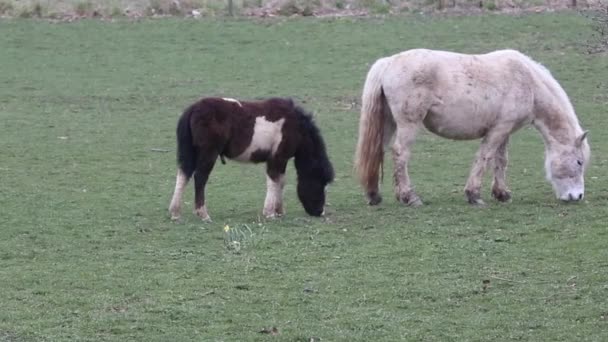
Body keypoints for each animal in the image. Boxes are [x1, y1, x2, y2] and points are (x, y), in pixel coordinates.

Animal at [169, 97, 334, 220]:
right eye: (319, 182)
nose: (319, 212)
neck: (296, 126)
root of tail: (193, 108)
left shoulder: (281, 160)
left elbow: (281, 182)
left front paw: (279, 210)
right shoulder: (277, 158)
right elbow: (274, 181)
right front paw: (269, 212)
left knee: (183, 175)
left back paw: (175, 212)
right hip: (209, 153)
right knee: (200, 178)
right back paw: (203, 214)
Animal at [356, 48, 588, 206]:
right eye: (579, 162)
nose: (577, 196)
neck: (527, 81)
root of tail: (388, 63)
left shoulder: (505, 131)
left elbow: (501, 160)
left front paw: (502, 194)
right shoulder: (498, 130)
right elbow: (484, 156)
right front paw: (474, 195)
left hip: (388, 123)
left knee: (378, 152)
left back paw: (374, 195)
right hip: (408, 125)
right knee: (400, 154)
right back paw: (409, 197)